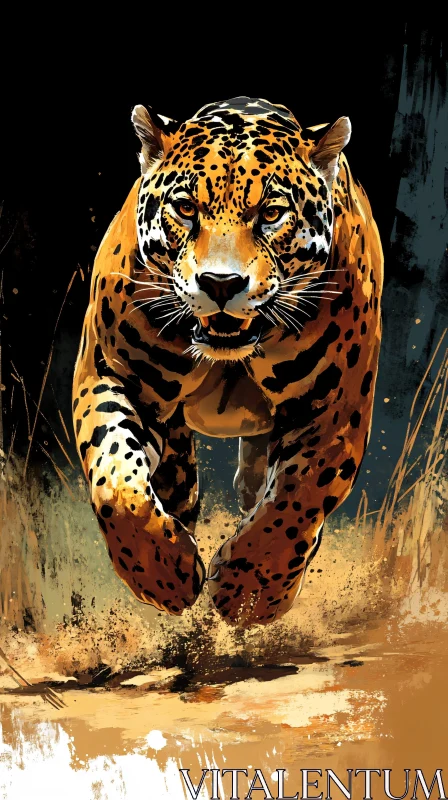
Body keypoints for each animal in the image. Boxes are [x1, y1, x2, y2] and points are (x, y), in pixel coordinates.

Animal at [72, 96, 383, 627]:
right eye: (185, 208)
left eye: (272, 213)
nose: (220, 283)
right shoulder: (112, 373)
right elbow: (117, 485)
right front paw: (164, 575)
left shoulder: (335, 408)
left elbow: (299, 499)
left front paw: (250, 592)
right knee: (176, 482)